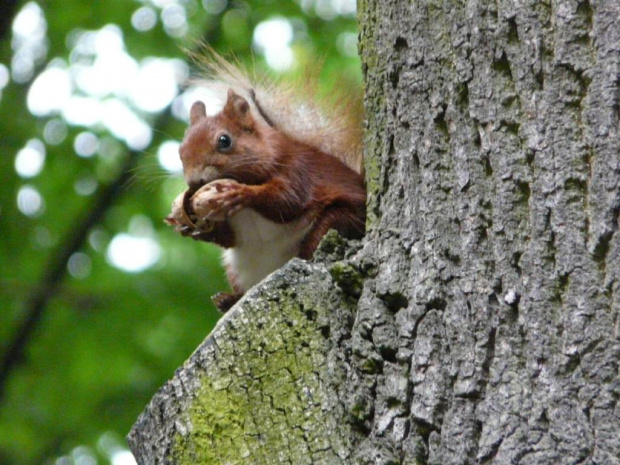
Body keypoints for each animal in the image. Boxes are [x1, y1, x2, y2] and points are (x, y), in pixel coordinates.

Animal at [167, 52, 366, 310]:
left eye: (224, 141)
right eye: (180, 150)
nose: (194, 182)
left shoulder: (298, 170)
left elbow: (287, 201)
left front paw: (239, 193)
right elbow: (228, 238)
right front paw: (190, 227)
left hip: (338, 221)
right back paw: (227, 299)